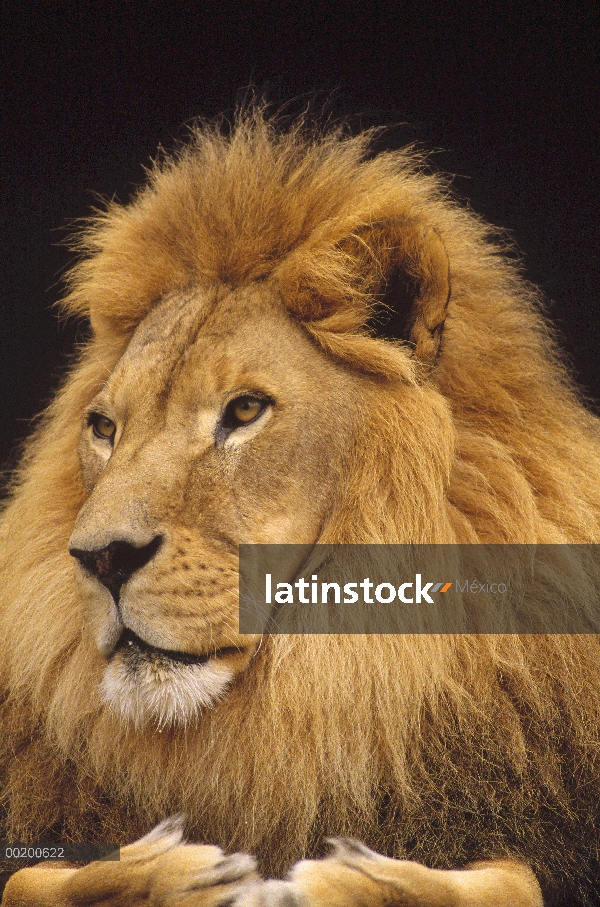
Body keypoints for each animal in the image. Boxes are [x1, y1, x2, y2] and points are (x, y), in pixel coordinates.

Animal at [1, 108, 600, 907]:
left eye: (245, 410)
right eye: (104, 427)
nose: (100, 557)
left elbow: (511, 881)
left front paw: (361, 877)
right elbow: (35, 878)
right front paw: (174, 872)